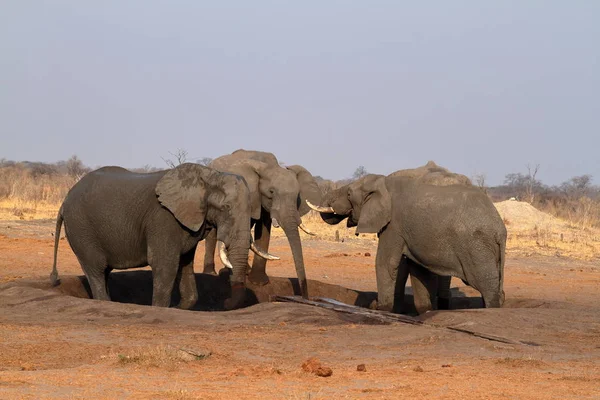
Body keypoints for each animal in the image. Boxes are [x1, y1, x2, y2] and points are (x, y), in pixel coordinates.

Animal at [50, 162, 276, 310]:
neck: (209, 176)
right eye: (226, 207)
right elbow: (165, 264)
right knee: (96, 269)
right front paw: (162, 307)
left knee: (103, 271)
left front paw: (179, 307)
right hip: (81, 228)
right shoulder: (163, 218)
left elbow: (185, 264)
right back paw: (104, 302)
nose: (226, 302)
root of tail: (64, 201)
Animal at [203, 148, 324, 298]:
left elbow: (264, 229)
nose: (304, 297)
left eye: (297, 196)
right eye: (271, 192)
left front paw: (259, 282)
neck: (268, 167)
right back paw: (212, 272)